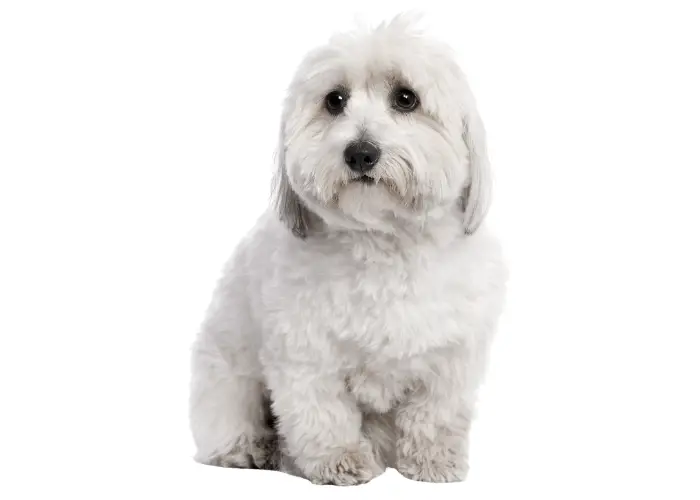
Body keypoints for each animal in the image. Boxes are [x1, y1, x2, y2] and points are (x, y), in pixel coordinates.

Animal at [189, 15, 508, 484]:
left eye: (406, 98)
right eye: (334, 100)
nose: (360, 152)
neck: (383, 243)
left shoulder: (450, 355)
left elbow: (435, 414)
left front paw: (434, 461)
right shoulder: (304, 353)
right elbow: (323, 413)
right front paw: (340, 460)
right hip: (226, 376)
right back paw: (252, 450)